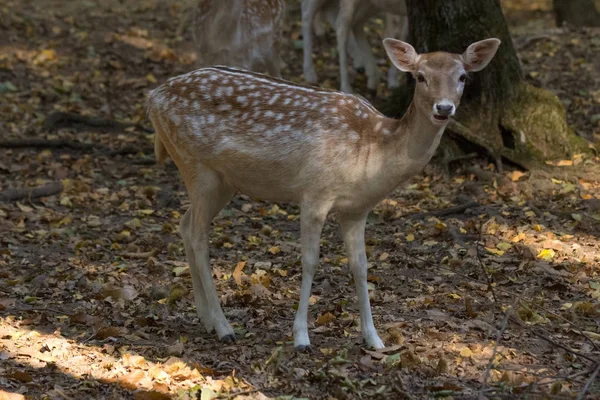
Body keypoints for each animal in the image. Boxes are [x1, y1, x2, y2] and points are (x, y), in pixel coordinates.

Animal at [146, 37, 502, 350]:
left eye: (463, 76)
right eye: (420, 76)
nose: (444, 107)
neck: (372, 153)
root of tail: (153, 96)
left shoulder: (357, 209)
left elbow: (361, 265)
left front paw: (373, 338)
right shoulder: (314, 192)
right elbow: (310, 261)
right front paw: (301, 338)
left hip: (223, 181)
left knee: (185, 225)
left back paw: (206, 319)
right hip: (196, 165)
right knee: (198, 236)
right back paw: (224, 327)